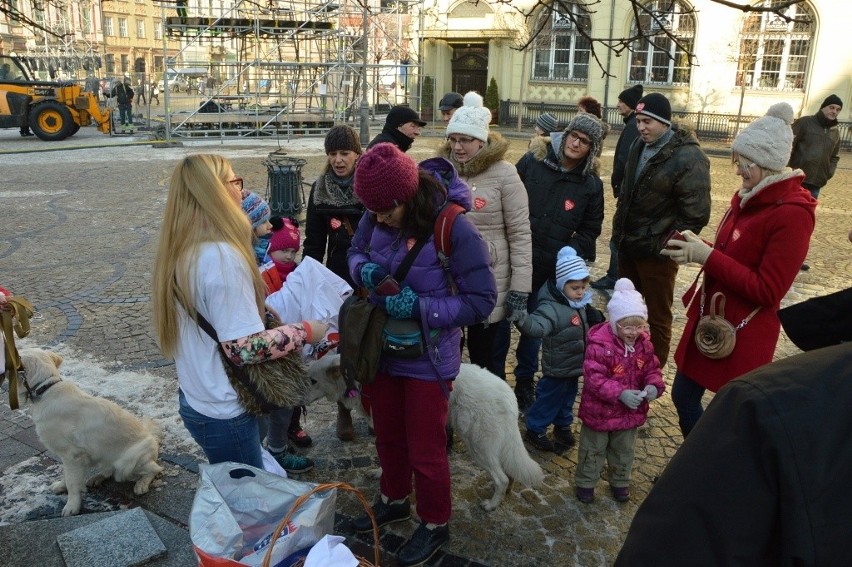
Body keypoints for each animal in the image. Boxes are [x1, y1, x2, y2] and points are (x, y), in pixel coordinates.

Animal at [17, 348, 165, 516]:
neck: (45, 389)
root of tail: (153, 438)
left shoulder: (72, 455)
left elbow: (72, 482)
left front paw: (72, 506)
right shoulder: (69, 457)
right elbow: (66, 475)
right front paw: (61, 486)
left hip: (129, 461)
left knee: (156, 469)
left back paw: (142, 483)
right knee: (109, 470)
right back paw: (97, 478)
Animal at [310, 356, 544, 510]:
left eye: (312, 381)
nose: (300, 399)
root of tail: (508, 394)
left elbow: (387, 458)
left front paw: (383, 477)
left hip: (478, 445)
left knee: (501, 477)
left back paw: (491, 505)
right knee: (509, 472)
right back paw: (505, 495)